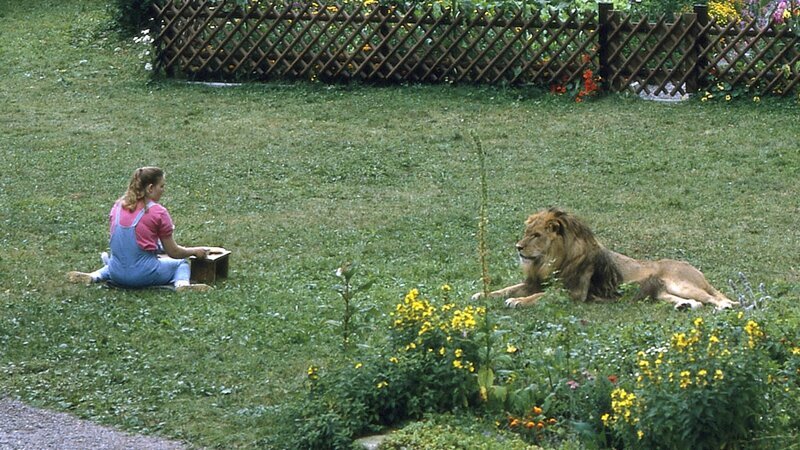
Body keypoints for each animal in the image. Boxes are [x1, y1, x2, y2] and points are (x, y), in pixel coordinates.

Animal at [473, 208, 736, 310]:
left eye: (536, 235)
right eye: (526, 233)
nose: (518, 247)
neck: (550, 260)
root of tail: (694, 269)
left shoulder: (574, 292)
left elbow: (537, 297)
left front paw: (517, 302)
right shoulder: (534, 282)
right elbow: (505, 289)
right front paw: (481, 295)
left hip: (682, 284)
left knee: (713, 298)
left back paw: (724, 306)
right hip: (662, 292)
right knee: (697, 303)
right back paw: (684, 306)